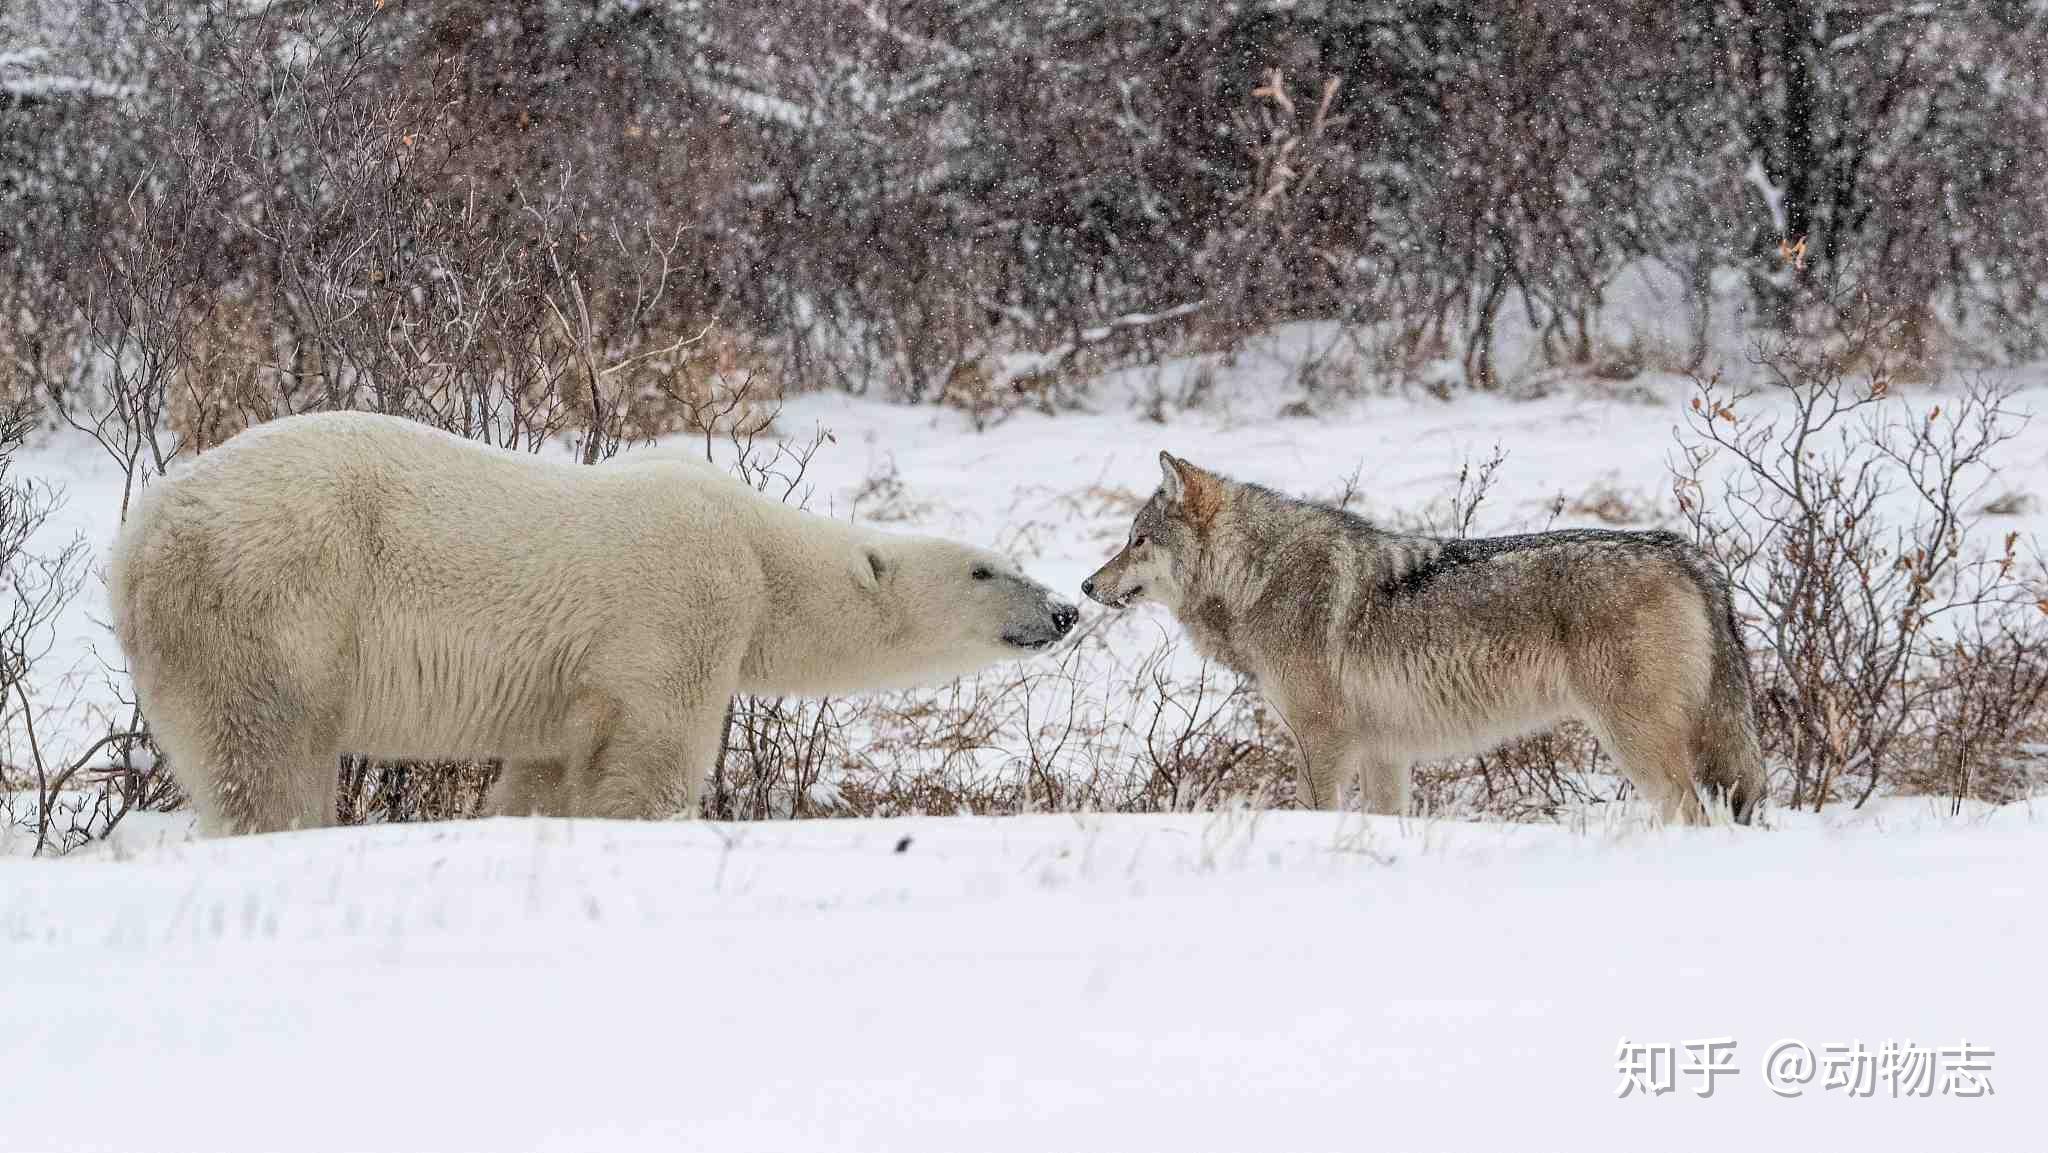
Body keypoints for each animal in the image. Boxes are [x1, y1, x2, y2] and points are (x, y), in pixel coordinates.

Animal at [108, 409, 1089, 835]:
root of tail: (141, 535)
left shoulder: (562, 686)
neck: (756, 544)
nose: (1065, 608)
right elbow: (649, 754)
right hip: (271, 600)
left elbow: (545, 772)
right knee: (267, 754)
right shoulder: (681, 603)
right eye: (986, 567)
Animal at [1081, 450, 1769, 819]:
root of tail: (1683, 552)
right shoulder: (1385, 751)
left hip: (1633, 741)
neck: (1259, 576)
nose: (1087, 586)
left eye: (1137, 540)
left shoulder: (1321, 743)